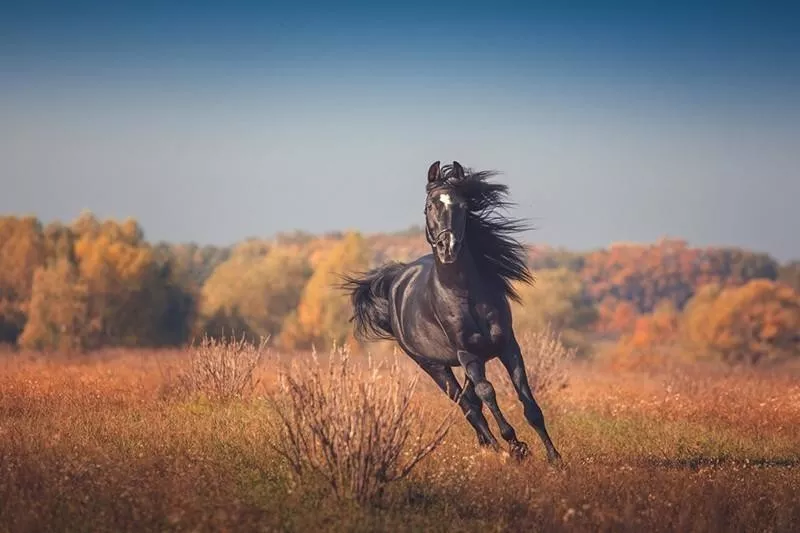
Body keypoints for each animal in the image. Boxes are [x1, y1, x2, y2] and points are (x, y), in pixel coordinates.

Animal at [344, 159, 564, 462]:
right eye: (429, 206)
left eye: (462, 205)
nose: (447, 248)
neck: (464, 294)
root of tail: (397, 279)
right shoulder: (467, 353)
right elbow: (487, 392)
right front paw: (515, 445)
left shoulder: (507, 346)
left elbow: (528, 401)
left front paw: (555, 458)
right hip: (433, 366)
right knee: (467, 405)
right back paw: (498, 450)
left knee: (471, 400)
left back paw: (490, 445)